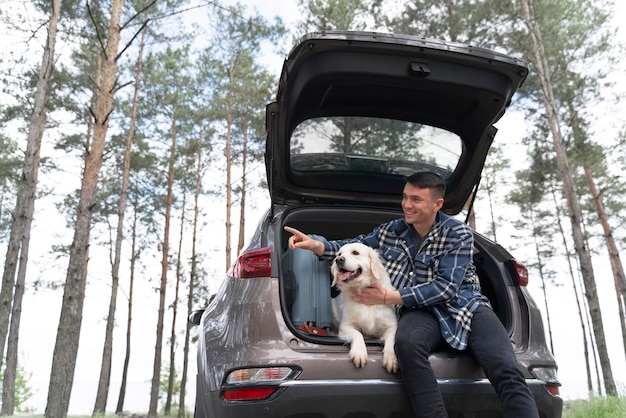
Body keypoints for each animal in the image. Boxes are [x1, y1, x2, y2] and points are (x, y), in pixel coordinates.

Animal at [330, 242, 398, 372]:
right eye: (339, 254)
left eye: (355, 252)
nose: (338, 260)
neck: (361, 288)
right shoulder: (346, 326)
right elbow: (358, 334)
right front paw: (359, 352)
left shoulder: (392, 325)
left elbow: (392, 339)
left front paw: (391, 357)